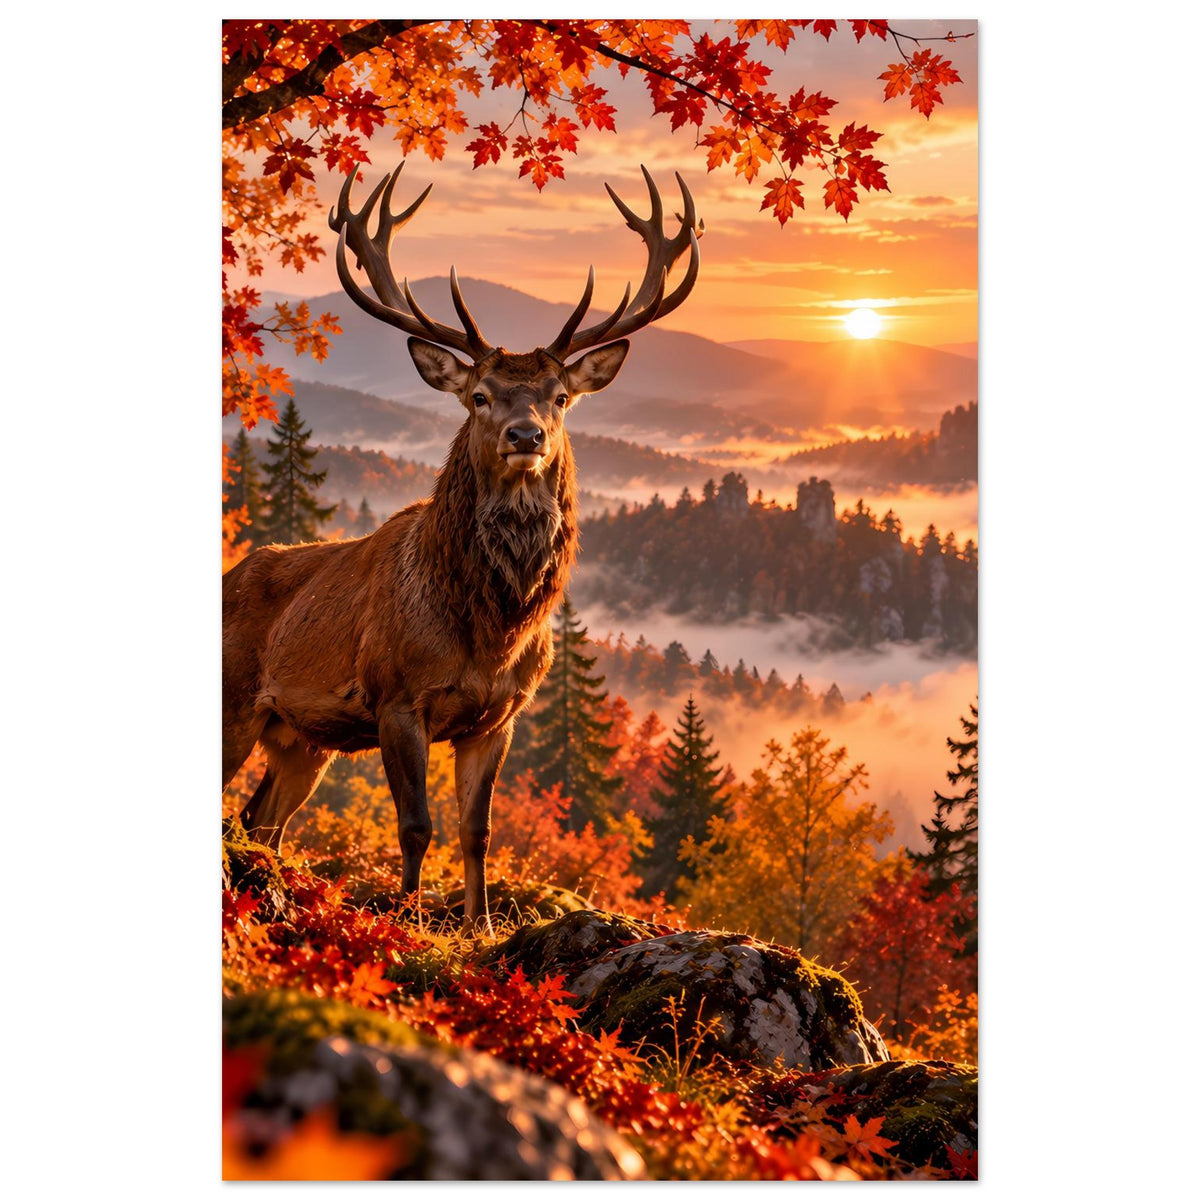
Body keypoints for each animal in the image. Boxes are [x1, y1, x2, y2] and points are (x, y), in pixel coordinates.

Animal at [222, 160, 702, 930]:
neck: (490, 631)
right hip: (237, 699)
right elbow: (415, 824)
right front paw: (406, 920)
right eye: (479, 395)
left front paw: (478, 925)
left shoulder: (499, 716)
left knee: (259, 819)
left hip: (300, 739)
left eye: (560, 396)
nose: (525, 435)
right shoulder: (395, 696)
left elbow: (477, 829)